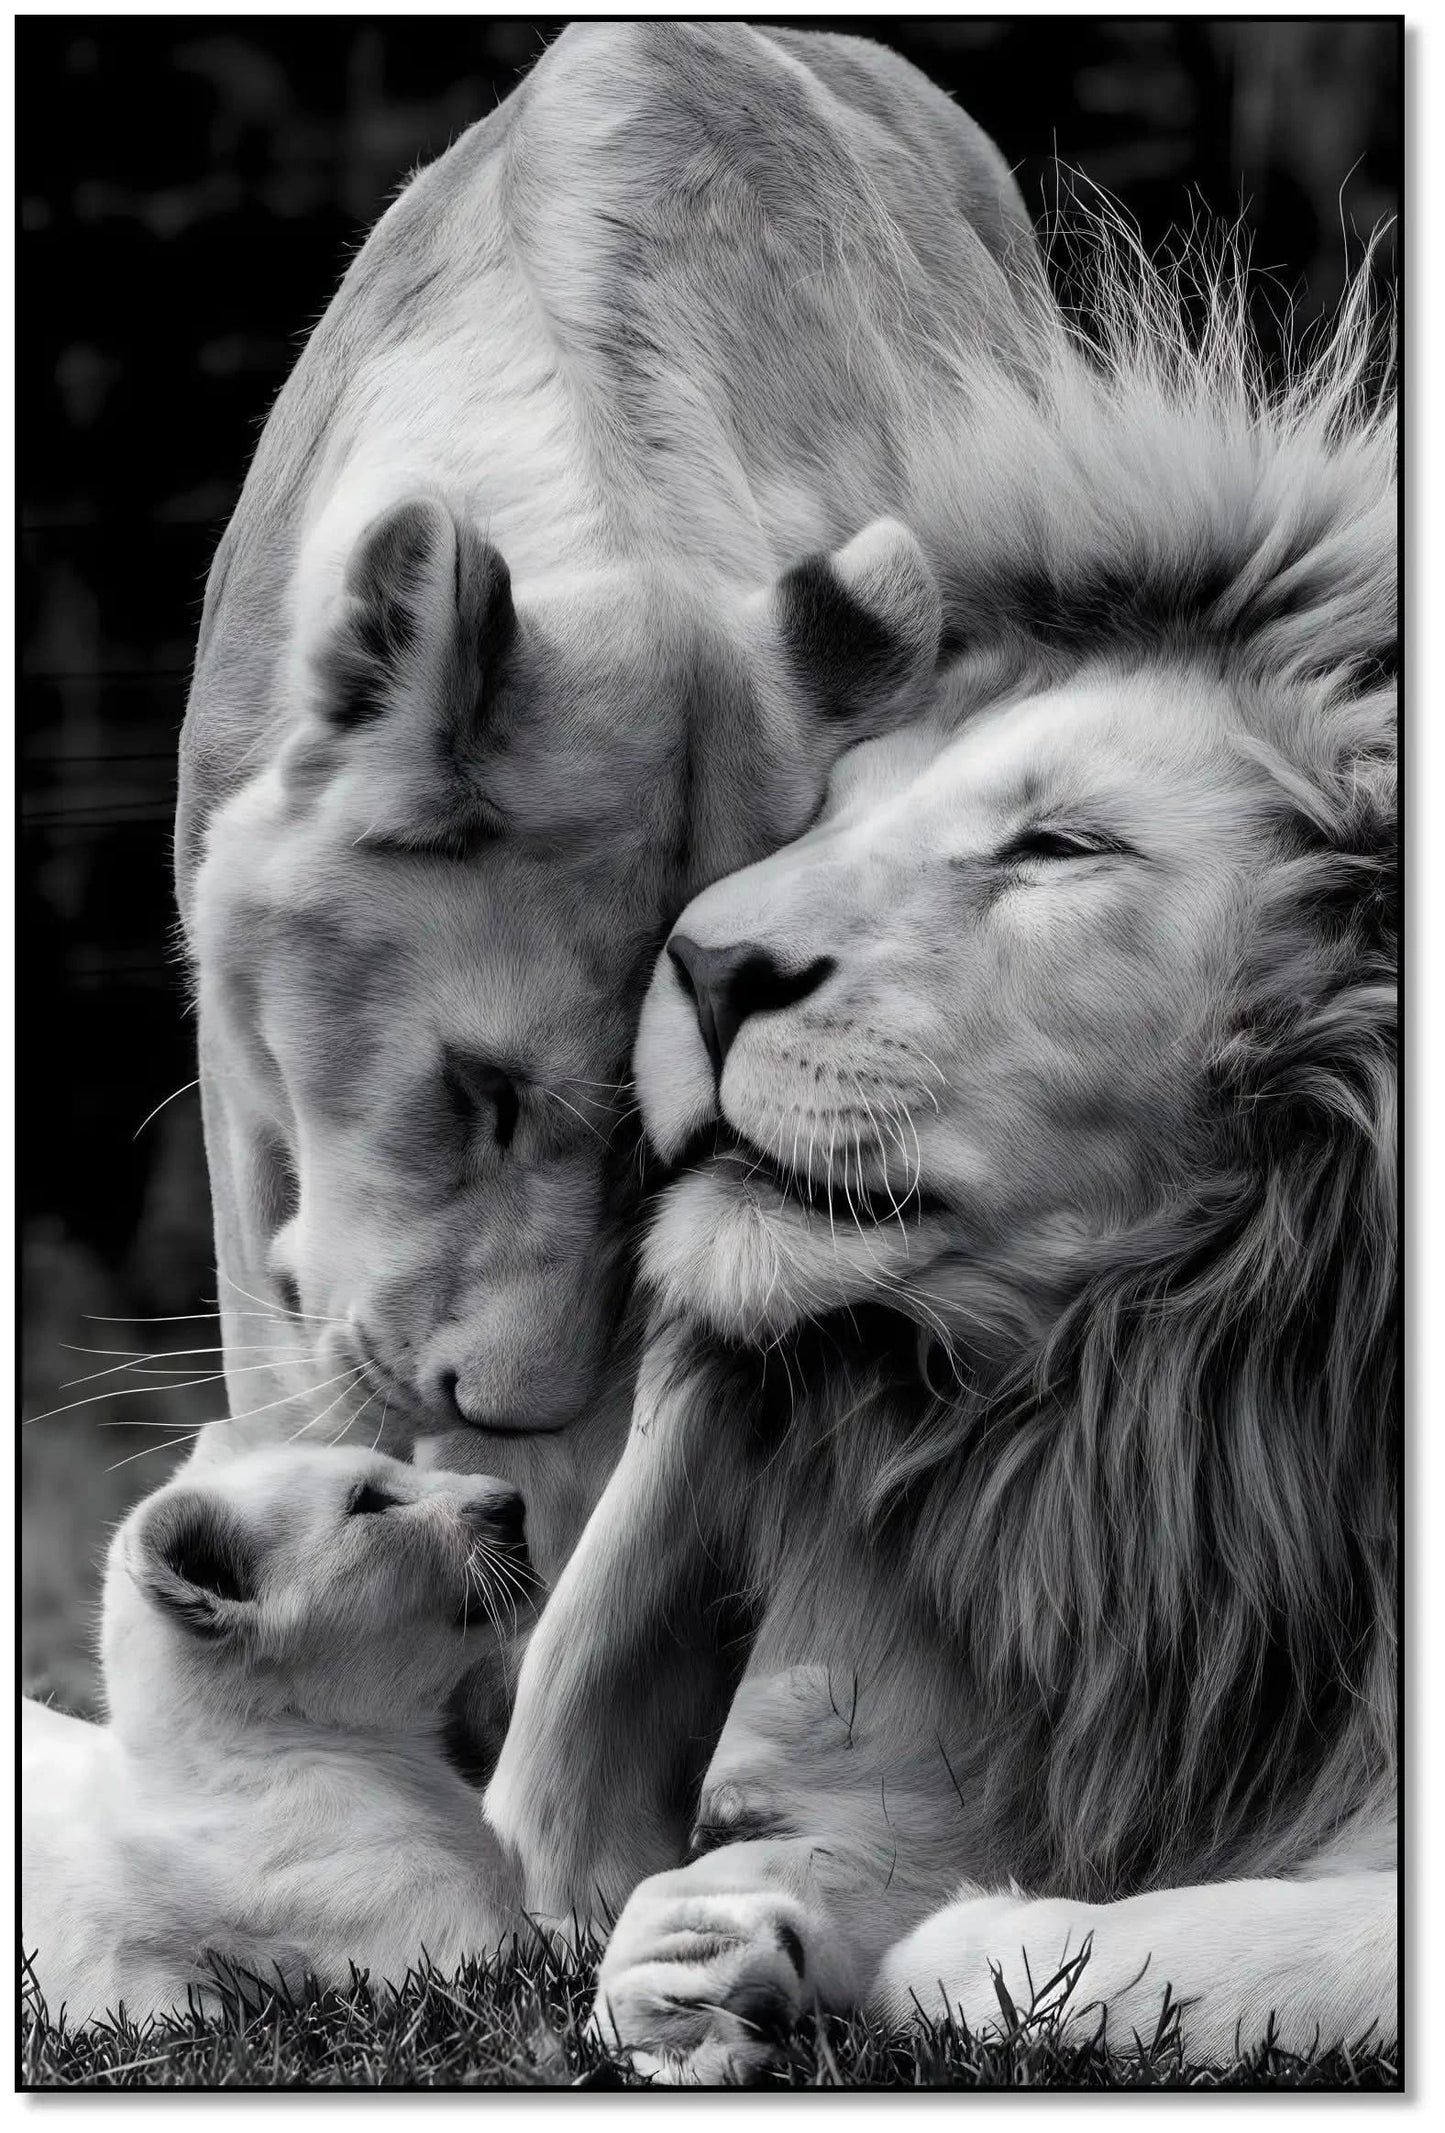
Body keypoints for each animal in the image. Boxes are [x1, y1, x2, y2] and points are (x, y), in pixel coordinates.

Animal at [485, 233, 1398, 2078]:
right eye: (835, 814)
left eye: (1059, 844)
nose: (704, 966)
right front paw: (713, 1940)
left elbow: (1309, 1936)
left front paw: (972, 1946)